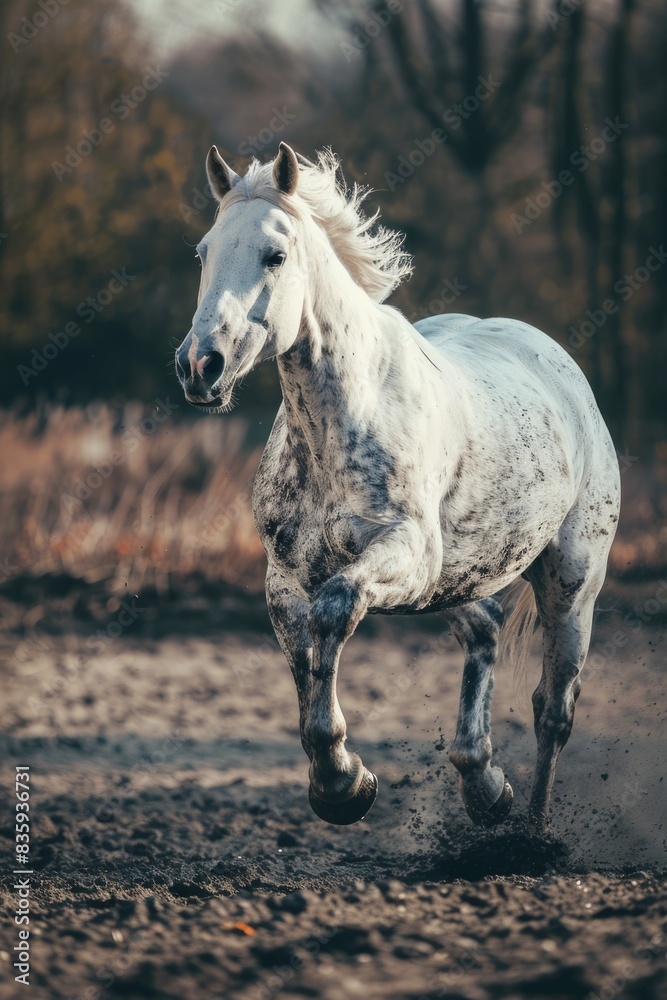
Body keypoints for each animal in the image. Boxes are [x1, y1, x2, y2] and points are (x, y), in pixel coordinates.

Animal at [175, 141, 621, 836]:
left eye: (276, 256)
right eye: (203, 252)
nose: (200, 366)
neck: (337, 428)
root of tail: (563, 370)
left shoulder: (402, 553)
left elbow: (334, 612)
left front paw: (345, 784)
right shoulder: (286, 578)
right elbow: (305, 656)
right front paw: (339, 782)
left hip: (570, 581)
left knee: (554, 709)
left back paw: (531, 834)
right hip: (454, 579)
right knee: (485, 633)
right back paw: (485, 786)